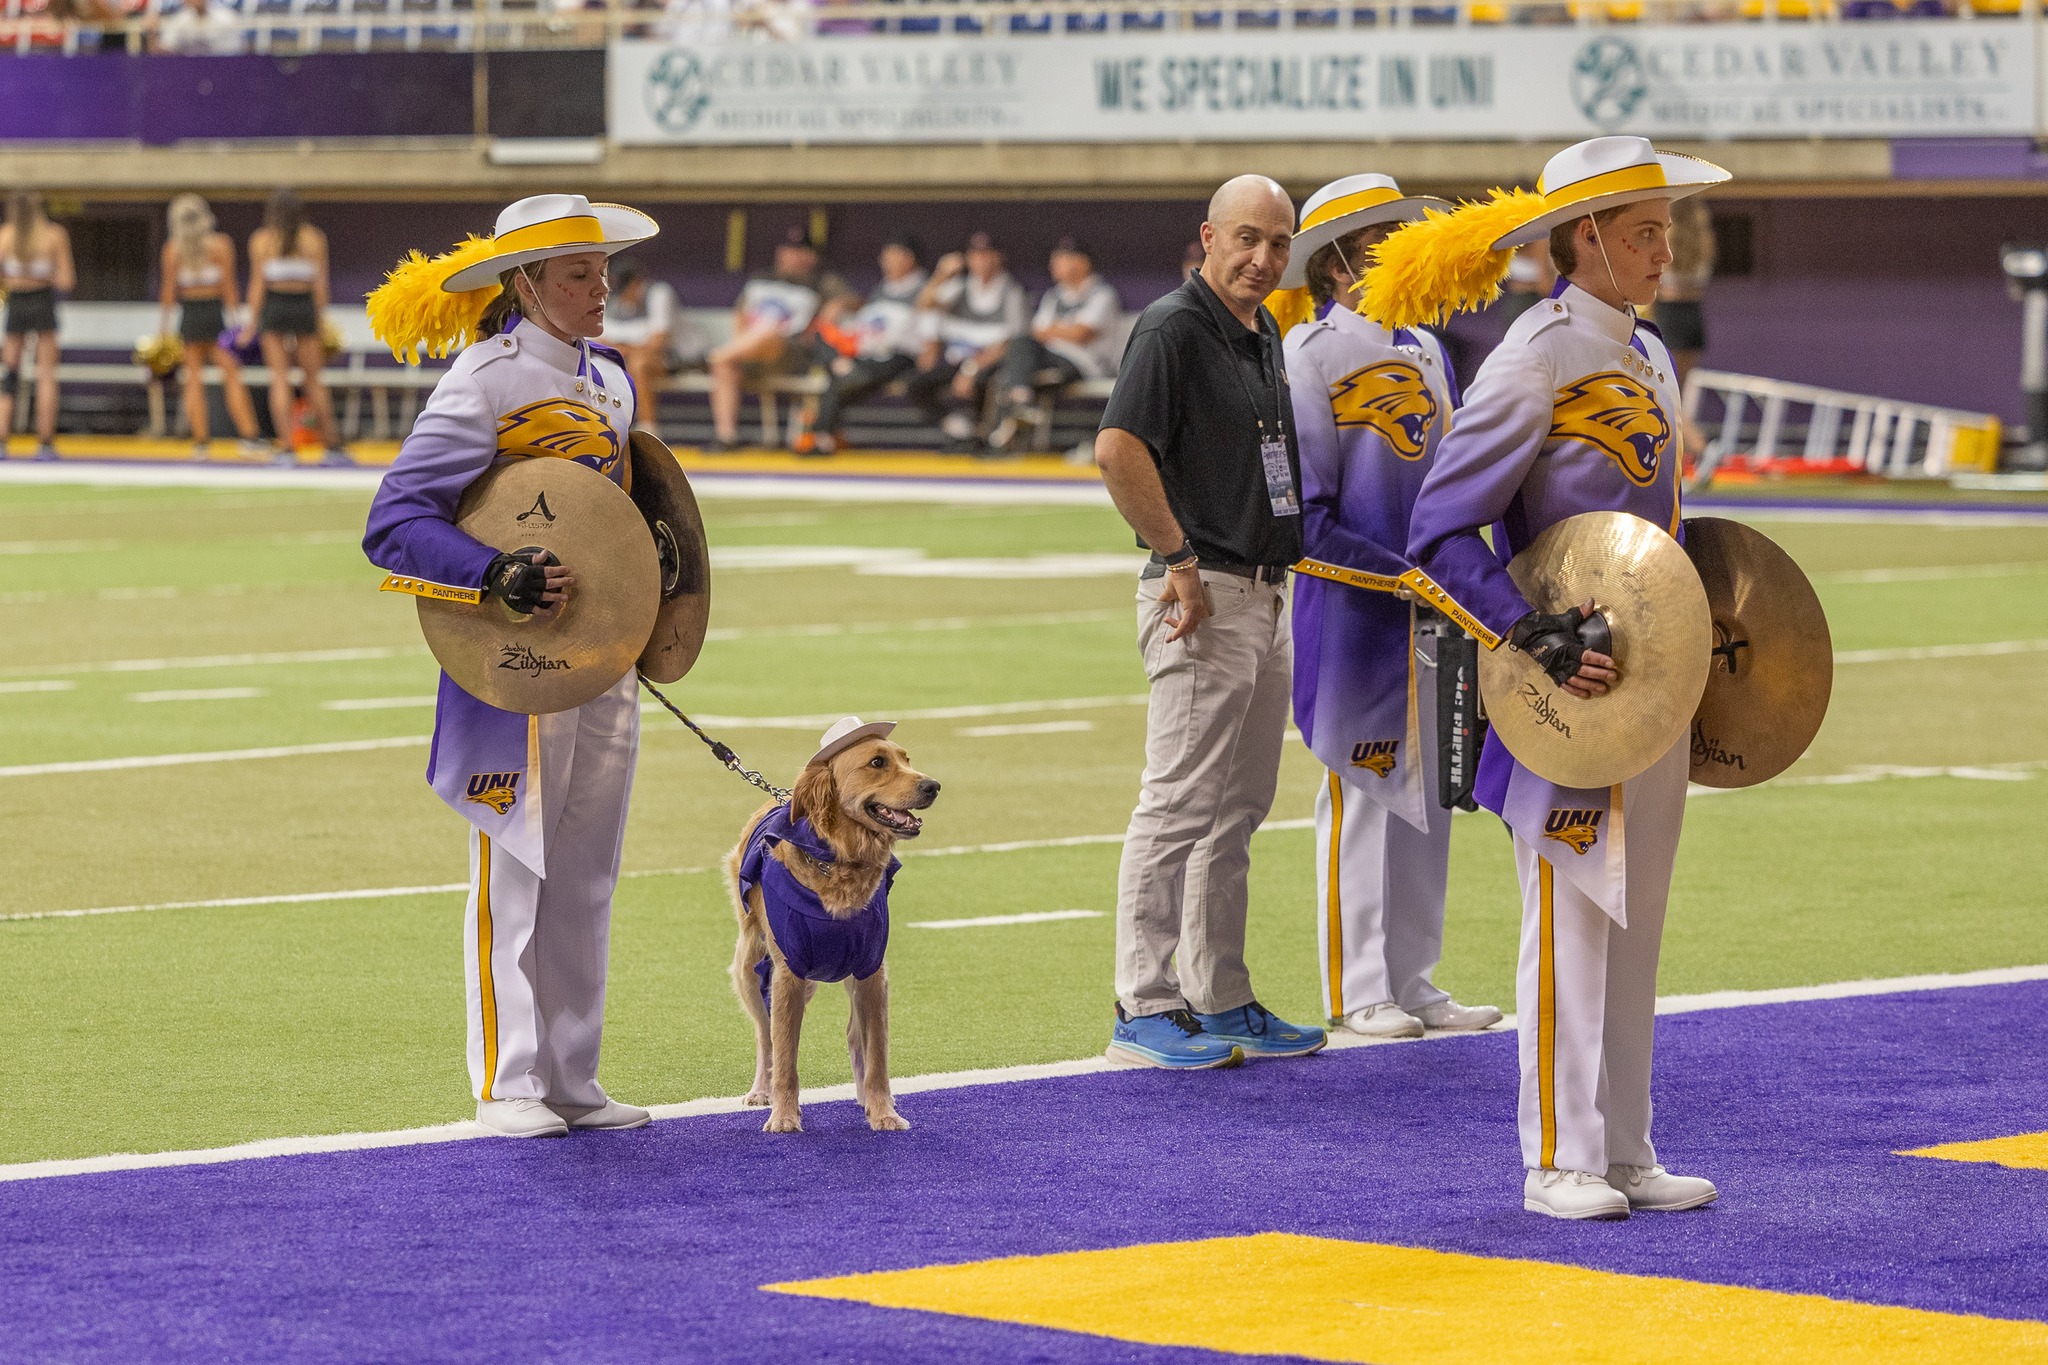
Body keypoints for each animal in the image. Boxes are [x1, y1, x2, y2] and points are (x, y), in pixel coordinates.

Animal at [724, 720, 937, 1137]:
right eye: (877, 762)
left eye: (907, 759)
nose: (933, 786)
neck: (841, 862)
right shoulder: (788, 973)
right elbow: (785, 1057)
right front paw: (784, 1116)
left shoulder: (872, 969)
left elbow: (877, 1055)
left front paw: (883, 1111)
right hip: (750, 965)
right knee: (764, 1035)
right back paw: (761, 1091)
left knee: (854, 1035)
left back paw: (864, 1098)